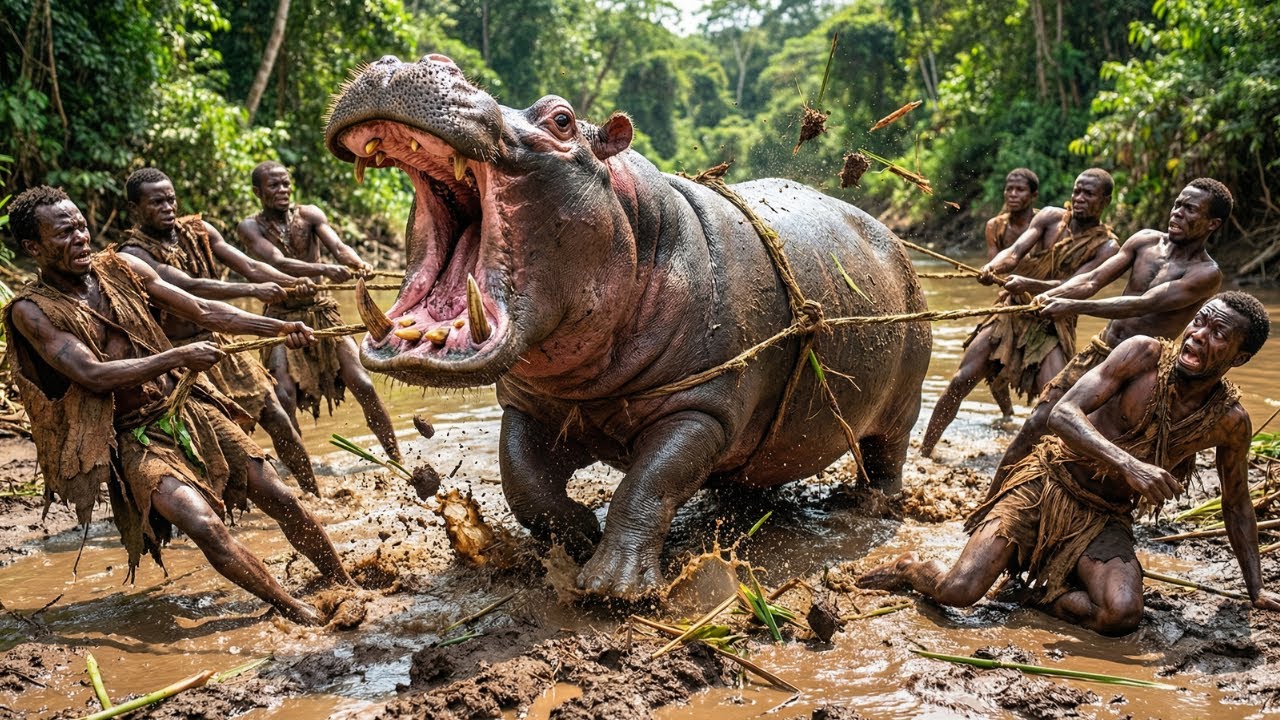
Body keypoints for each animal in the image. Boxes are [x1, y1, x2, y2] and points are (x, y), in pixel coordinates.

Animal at [325, 54, 931, 598]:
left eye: (562, 119)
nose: (407, 63)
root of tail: (892, 236)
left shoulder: (702, 406)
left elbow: (648, 483)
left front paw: (614, 587)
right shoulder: (530, 404)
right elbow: (523, 482)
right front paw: (577, 534)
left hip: (904, 393)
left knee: (889, 451)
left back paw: (869, 505)